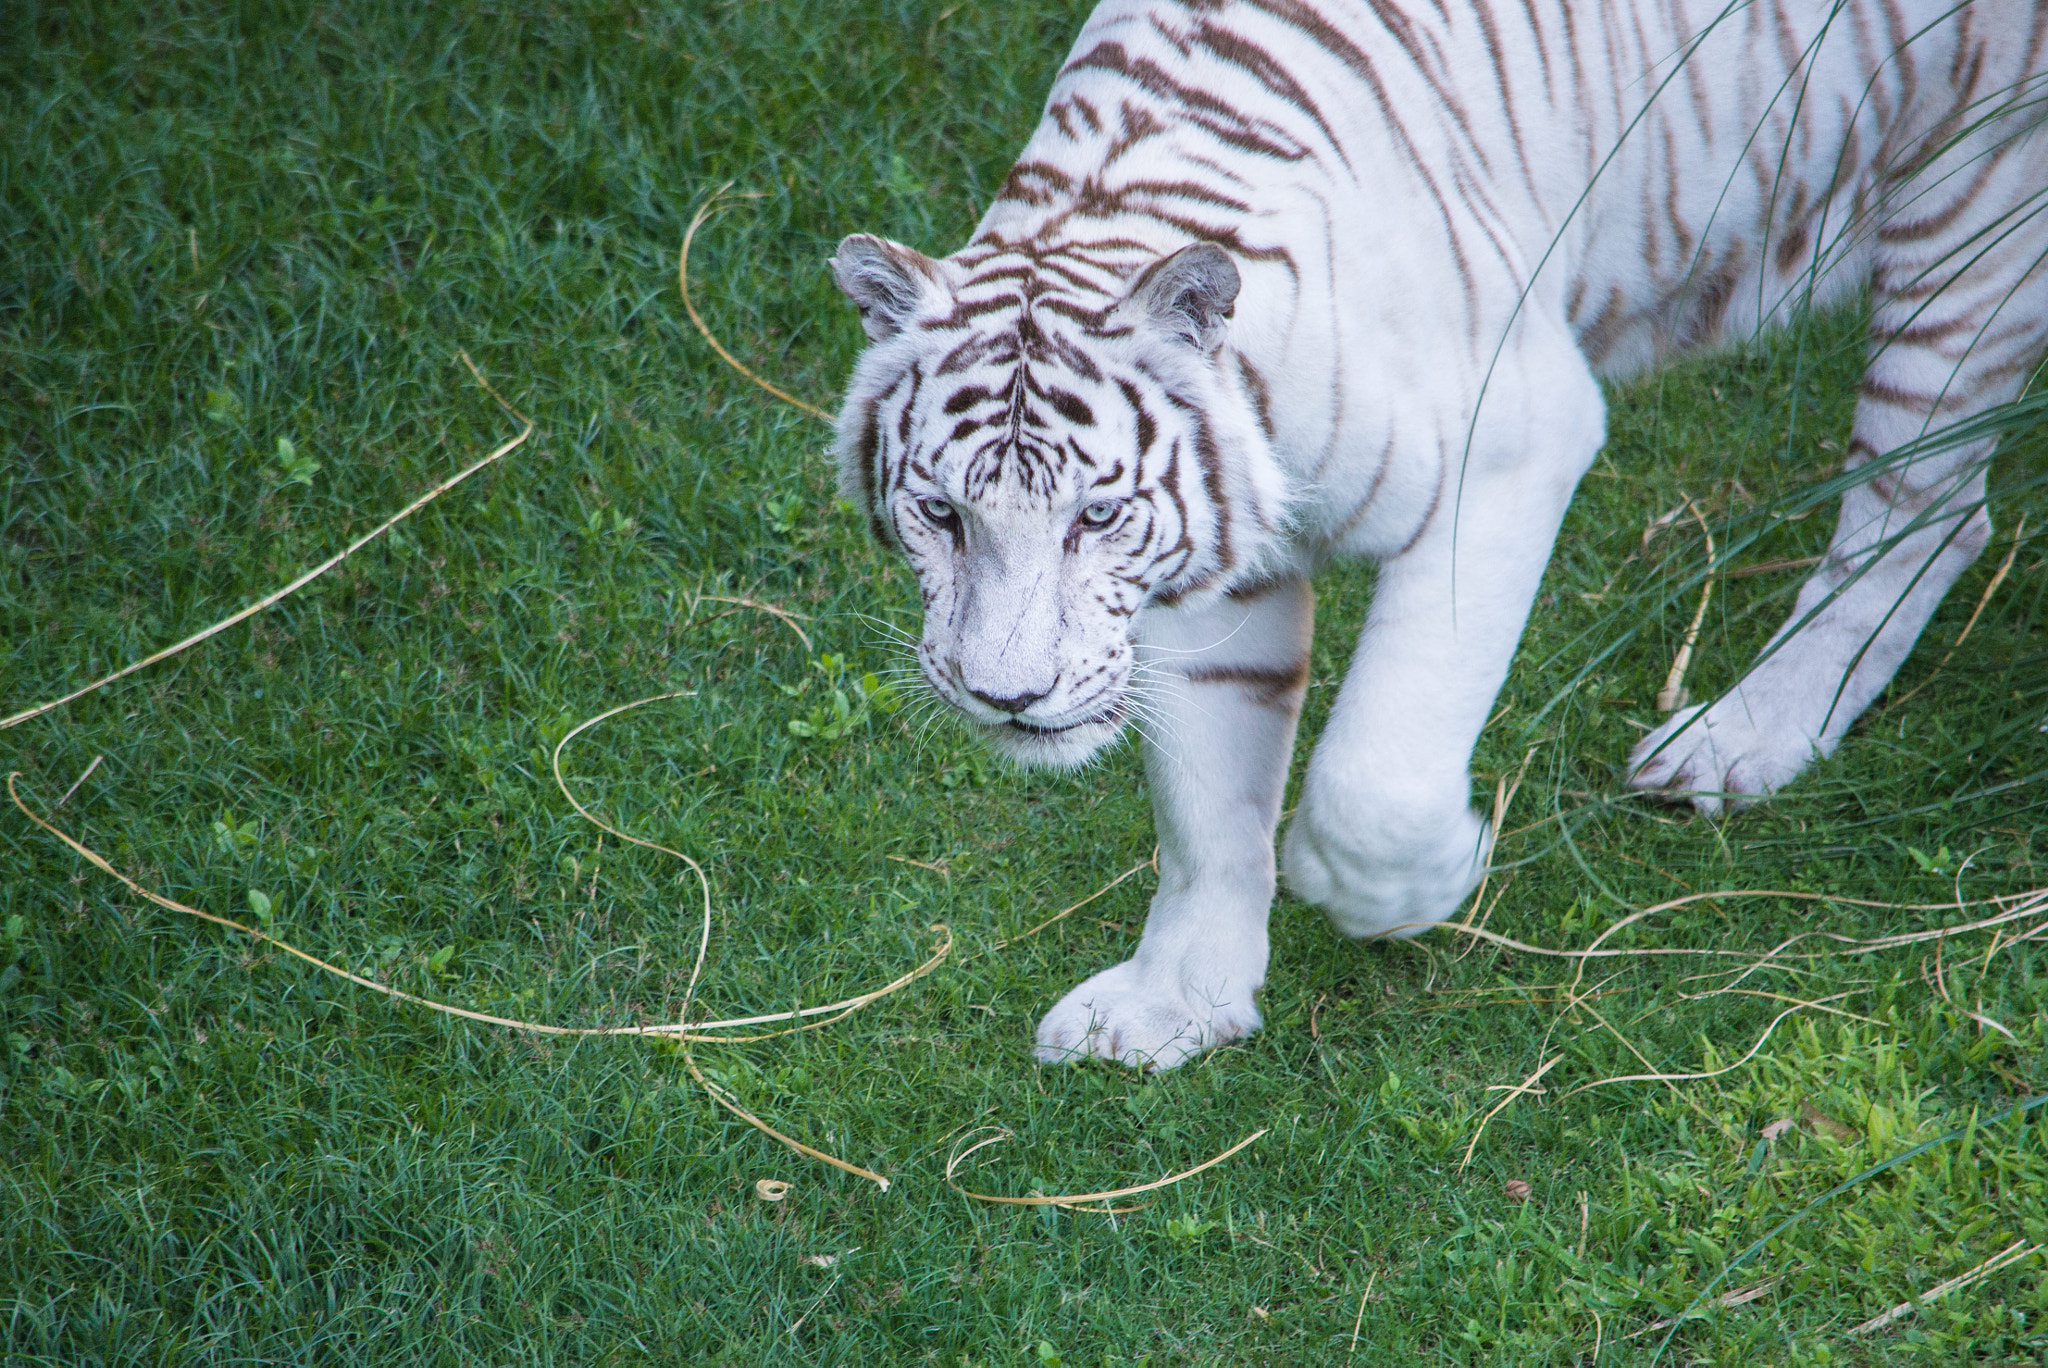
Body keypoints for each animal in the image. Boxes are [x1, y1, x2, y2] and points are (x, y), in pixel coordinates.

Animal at [827, 0, 2048, 1069]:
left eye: (1096, 514)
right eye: (941, 514)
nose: (1007, 697)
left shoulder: (1506, 448)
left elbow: (1371, 775)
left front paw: (1407, 887)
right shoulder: (1205, 578)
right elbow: (1204, 806)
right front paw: (1176, 1003)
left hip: (1972, 216)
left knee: (1925, 514)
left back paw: (1735, 741)